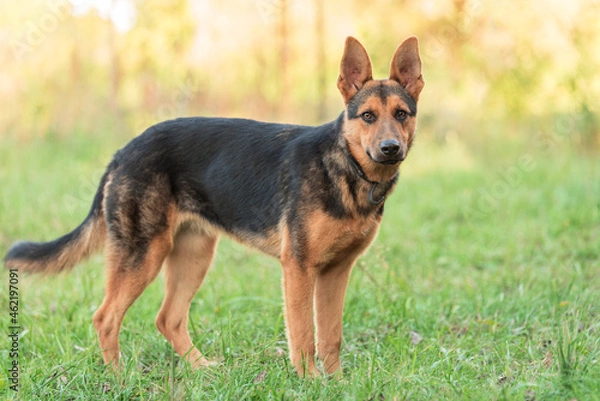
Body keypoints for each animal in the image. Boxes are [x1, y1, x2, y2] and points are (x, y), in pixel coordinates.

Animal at [5, 36, 426, 376]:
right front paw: (310, 382)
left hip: (193, 256)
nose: (390, 149)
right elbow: (304, 336)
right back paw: (119, 378)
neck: (346, 169)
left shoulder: (336, 271)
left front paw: (336, 383)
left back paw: (201, 368)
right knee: (106, 318)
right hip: (143, 255)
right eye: (367, 116)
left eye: (401, 114)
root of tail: (124, 151)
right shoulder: (298, 268)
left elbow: (331, 337)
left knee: (168, 319)